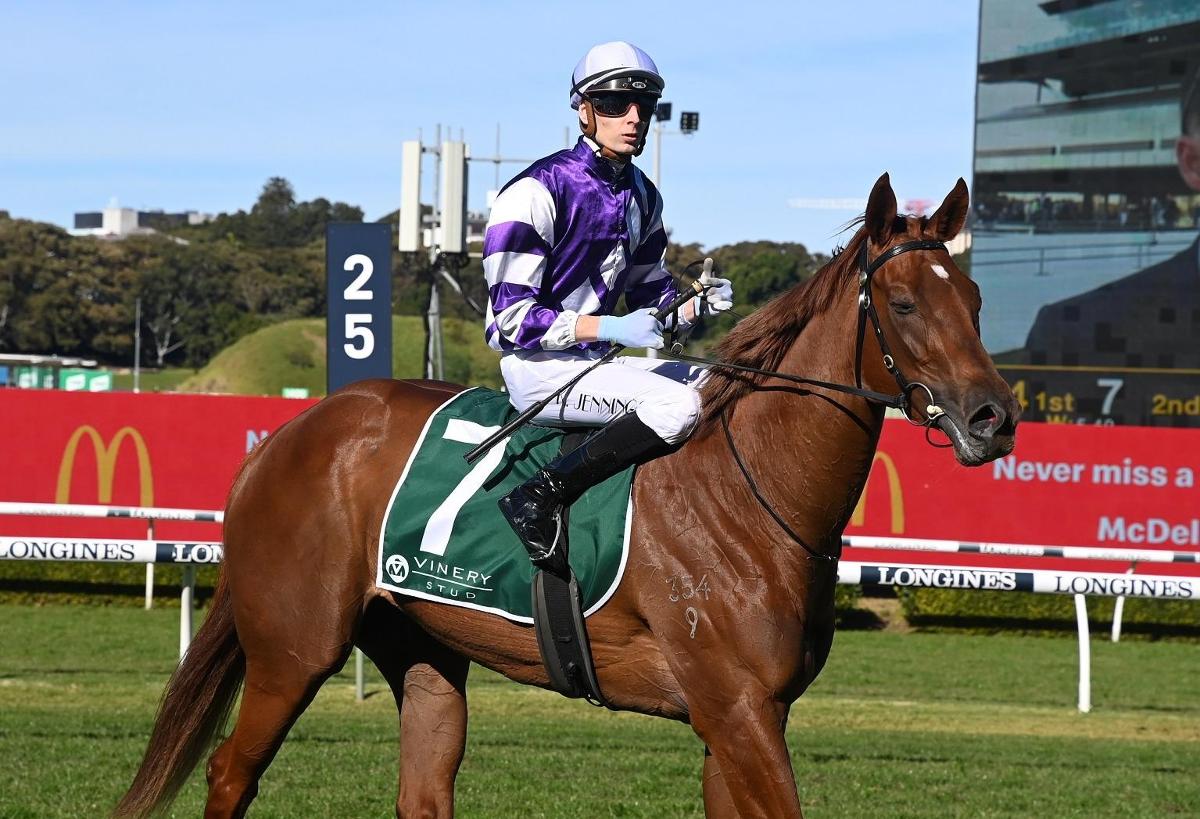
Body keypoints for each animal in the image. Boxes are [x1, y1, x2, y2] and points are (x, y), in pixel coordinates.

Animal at [115, 173, 1018, 819]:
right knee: (230, 773)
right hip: (293, 649)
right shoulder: (736, 710)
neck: (751, 491)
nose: (994, 416)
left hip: (423, 647)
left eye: (975, 301)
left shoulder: (748, 717)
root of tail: (286, 437)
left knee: (421, 791)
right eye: (904, 302)